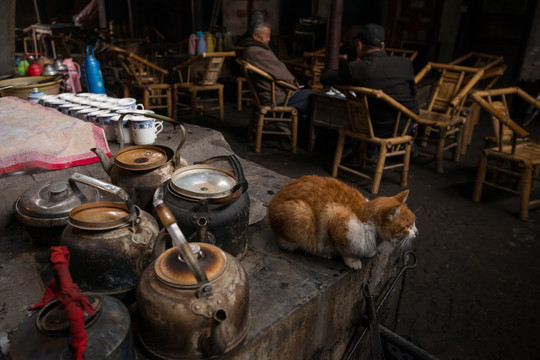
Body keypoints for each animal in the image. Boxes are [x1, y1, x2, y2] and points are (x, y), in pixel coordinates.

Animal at [266, 176, 418, 268]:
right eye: (408, 226)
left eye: (414, 223)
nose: (417, 233)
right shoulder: (335, 217)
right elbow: (344, 249)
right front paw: (353, 261)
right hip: (302, 215)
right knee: (307, 245)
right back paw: (323, 253)